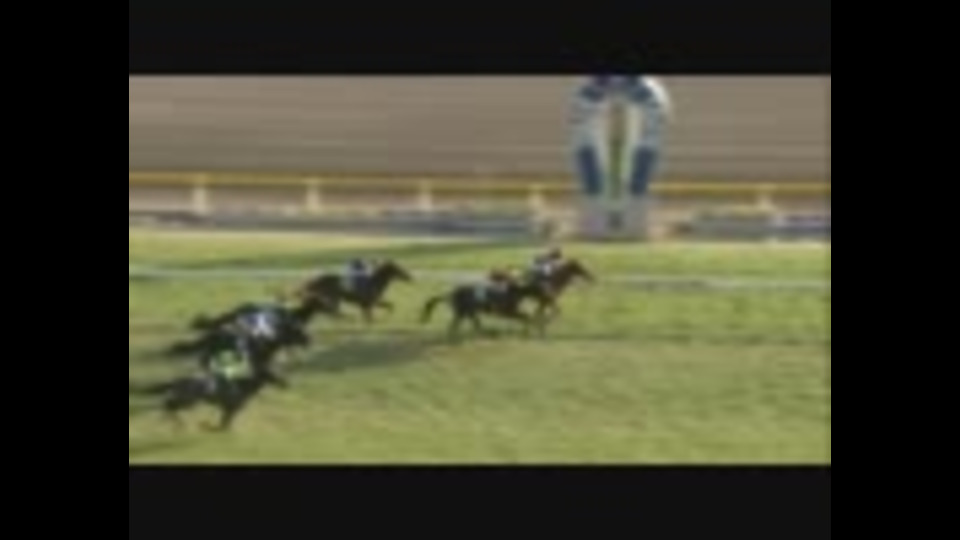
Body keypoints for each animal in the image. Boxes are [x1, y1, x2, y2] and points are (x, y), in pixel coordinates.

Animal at [420, 279, 552, 339]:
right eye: (542, 289)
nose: (549, 297)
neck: (516, 291)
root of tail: (449, 294)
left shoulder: (509, 312)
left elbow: (525, 316)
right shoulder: (506, 312)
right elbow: (526, 316)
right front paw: (528, 330)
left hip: (468, 312)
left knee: (471, 324)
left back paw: (483, 333)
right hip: (462, 312)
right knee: (455, 325)